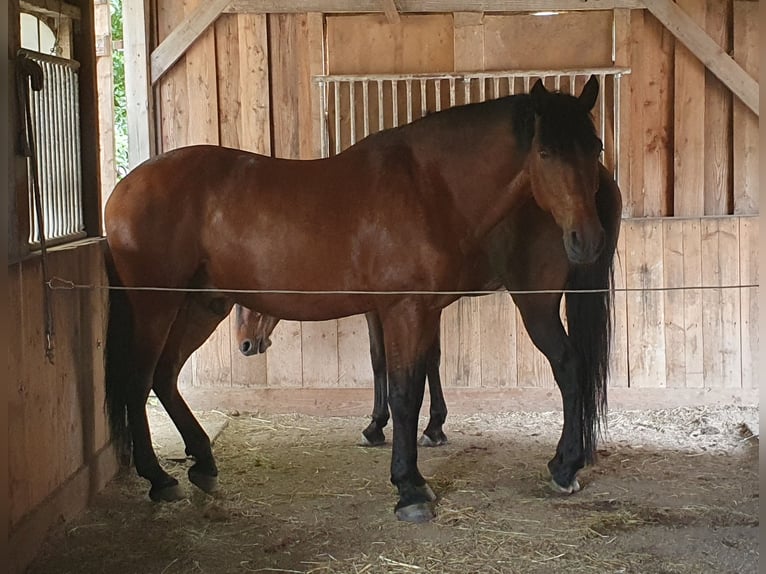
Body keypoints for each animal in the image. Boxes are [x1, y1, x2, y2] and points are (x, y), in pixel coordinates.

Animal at [237, 162, 620, 460]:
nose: (245, 345)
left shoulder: (383, 309)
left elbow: (381, 359)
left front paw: (376, 425)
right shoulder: (424, 308)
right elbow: (429, 360)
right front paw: (434, 426)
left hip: (536, 305)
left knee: (569, 365)